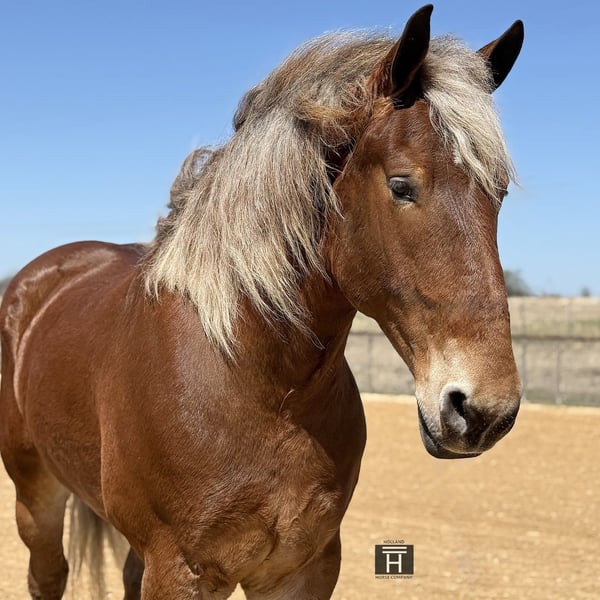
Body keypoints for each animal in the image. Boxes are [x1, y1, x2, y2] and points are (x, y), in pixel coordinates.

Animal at [0, 5, 524, 599]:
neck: (258, 382)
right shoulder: (181, 571)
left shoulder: (303, 567)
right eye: (400, 185)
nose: (484, 411)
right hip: (36, 496)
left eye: (498, 193)